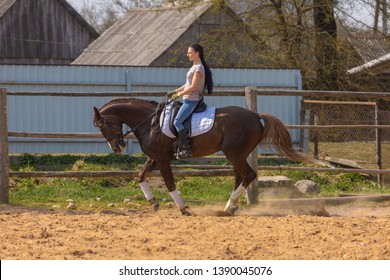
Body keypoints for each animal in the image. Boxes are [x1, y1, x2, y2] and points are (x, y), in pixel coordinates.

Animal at [93, 97, 310, 215]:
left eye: (102, 125)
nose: (117, 147)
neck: (151, 122)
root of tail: (256, 116)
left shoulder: (162, 159)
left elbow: (170, 184)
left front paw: (184, 209)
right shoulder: (154, 158)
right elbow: (140, 176)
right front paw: (153, 203)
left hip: (234, 153)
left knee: (248, 175)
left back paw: (229, 207)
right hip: (237, 154)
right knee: (240, 177)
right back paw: (229, 207)